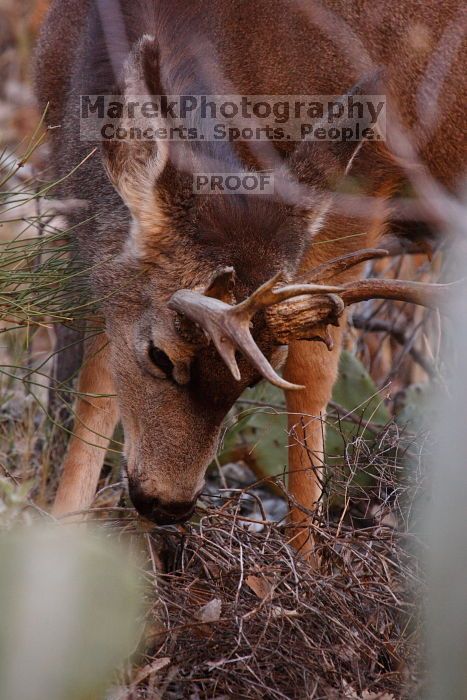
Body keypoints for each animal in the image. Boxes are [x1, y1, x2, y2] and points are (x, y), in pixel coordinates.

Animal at [33, 0, 465, 555]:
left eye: (256, 377)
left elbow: (310, 371)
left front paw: (306, 556)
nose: (169, 504)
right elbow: (95, 383)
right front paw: (61, 529)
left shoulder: (363, 181)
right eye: (160, 355)